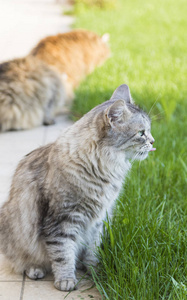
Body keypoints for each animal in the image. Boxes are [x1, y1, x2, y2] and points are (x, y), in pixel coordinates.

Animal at [0, 84, 156, 290]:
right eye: (141, 133)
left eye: (148, 131)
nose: (153, 141)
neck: (101, 168)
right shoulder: (63, 219)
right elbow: (63, 254)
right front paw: (66, 280)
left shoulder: (98, 220)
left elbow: (92, 250)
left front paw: (95, 271)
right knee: (19, 261)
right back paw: (35, 269)